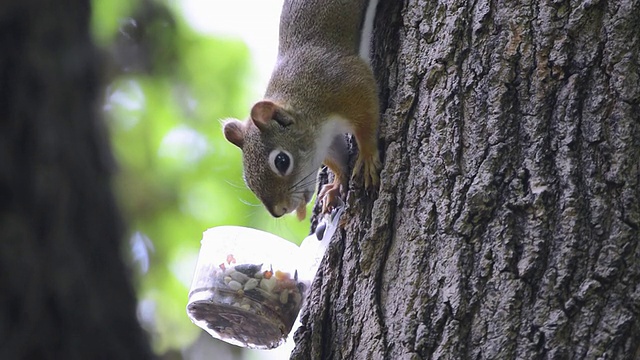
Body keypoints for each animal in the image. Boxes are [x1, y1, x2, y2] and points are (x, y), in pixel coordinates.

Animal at [222, 0, 380, 219]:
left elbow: (367, 118)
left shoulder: (347, 86)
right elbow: (337, 159)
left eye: (282, 161)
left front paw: (366, 155)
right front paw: (336, 184)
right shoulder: (326, 140)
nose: (279, 211)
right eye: (248, 179)